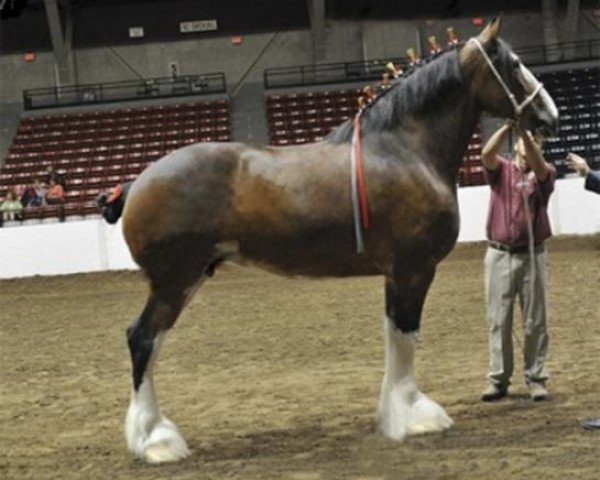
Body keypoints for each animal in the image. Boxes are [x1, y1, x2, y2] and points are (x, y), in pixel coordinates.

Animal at [116, 19, 556, 464]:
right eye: (513, 64)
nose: (549, 114)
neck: (405, 150)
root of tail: (137, 182)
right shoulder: (414, 269)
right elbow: (405, 336)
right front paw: (414, 416)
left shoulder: (396, 274)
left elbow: (394, 336)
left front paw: (393, 414)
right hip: (175, 282)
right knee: (142, 339)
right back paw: (156, 440)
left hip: (187, 279)